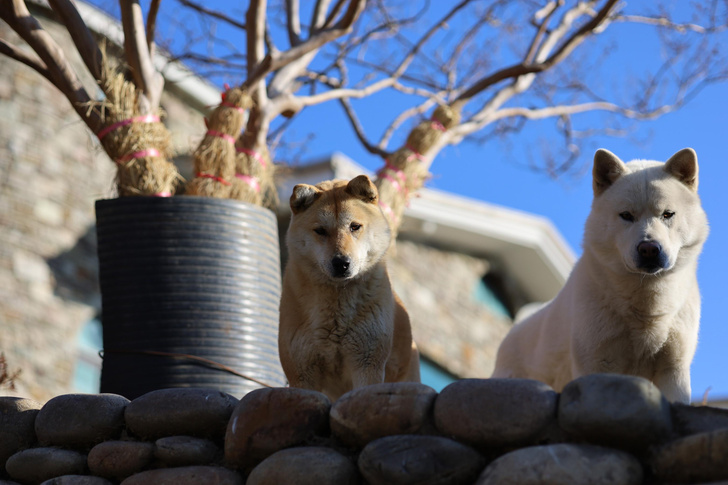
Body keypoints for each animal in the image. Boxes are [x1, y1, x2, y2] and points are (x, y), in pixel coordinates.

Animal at [492, 146, 708, 402]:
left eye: (667, 214)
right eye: (626, 215)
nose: (649, 249)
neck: (646, 307)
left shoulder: (673, 370)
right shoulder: (596, 364)